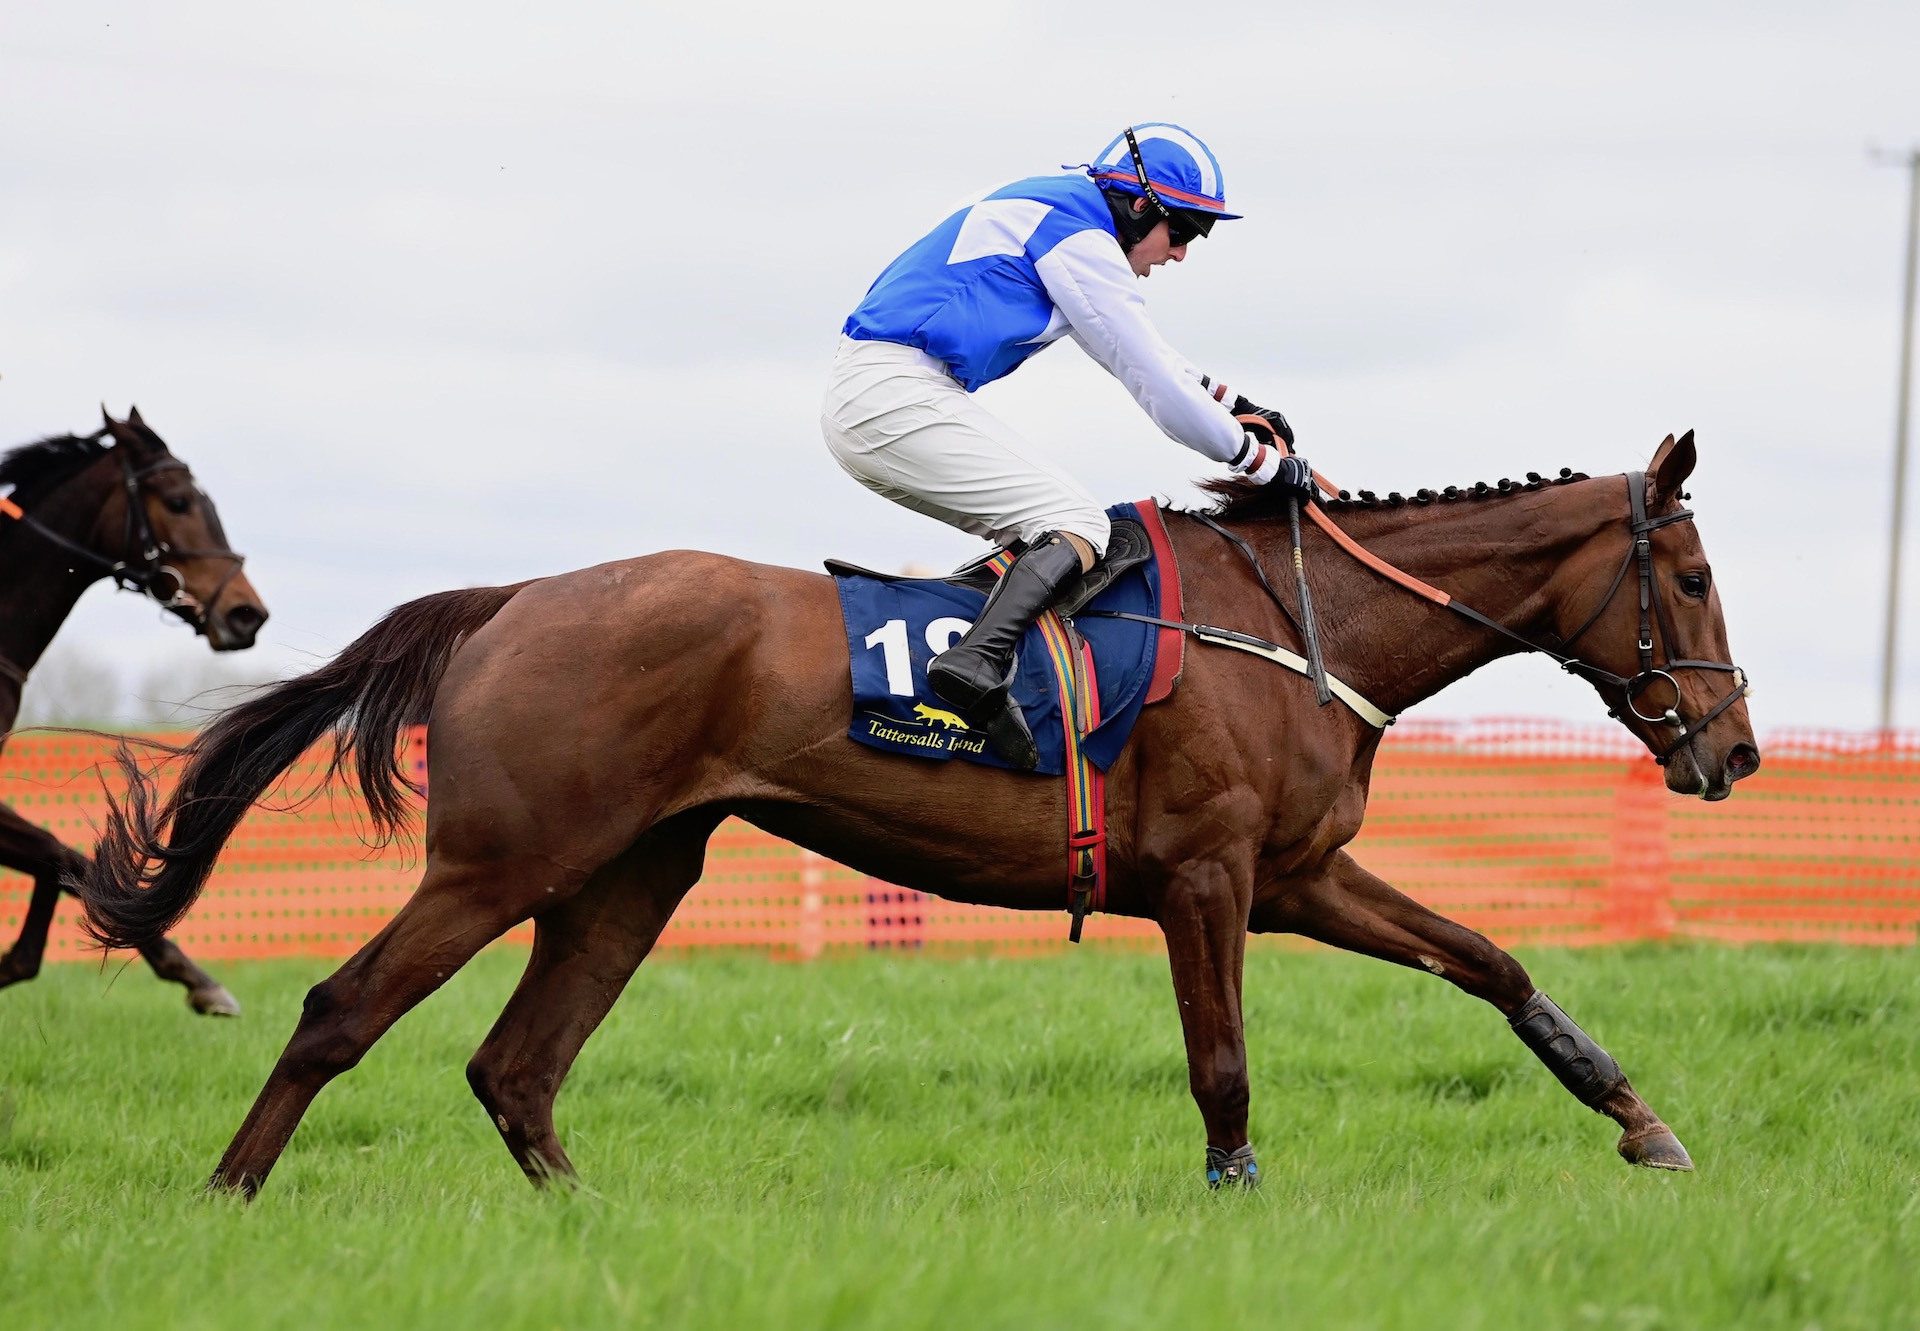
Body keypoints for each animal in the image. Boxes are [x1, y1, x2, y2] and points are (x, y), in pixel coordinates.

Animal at [74, 430, 1758, 1190]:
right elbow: (1222, 1061)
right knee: (342, 1009)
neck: (1299, 621)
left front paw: (1643, 1120)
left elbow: (1494, 960)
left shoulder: (1297, 875)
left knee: (516, 1064)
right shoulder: (1209, 877)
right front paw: (1234, 1196)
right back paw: (228, 1195)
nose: (1733, 749)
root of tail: (511, 597)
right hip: (506, 857)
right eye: (1687, 574)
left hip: (629, 872)